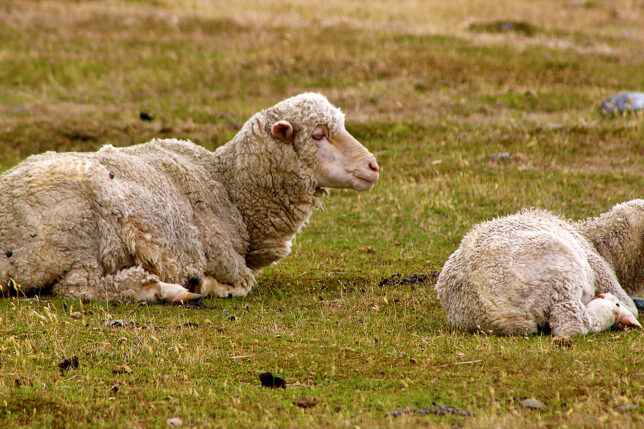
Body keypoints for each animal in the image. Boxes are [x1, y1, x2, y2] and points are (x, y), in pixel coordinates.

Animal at [0, 93, 379, 303]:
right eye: (318, 134)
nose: (373, 166)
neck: (227, 185)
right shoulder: (226, 259)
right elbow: (244, 285)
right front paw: (209, 285)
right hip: (75, 236)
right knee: (78, 287)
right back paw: (168, 291)